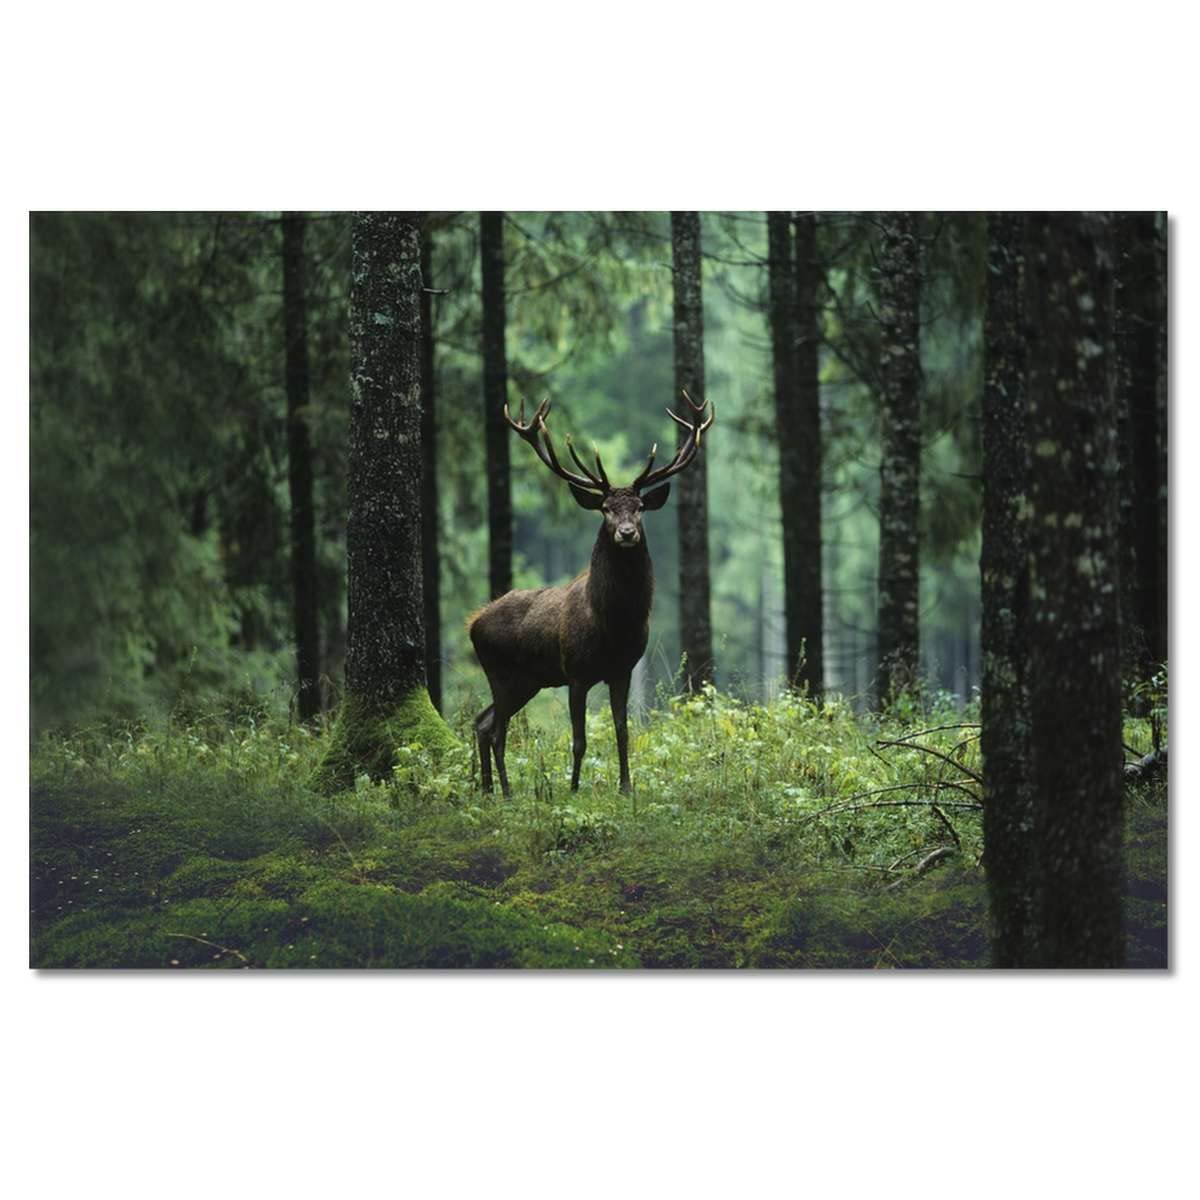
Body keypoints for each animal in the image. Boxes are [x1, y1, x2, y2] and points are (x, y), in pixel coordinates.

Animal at [469, 391, 714, 797]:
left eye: (640, 507)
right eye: (605, 508)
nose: (627, 532)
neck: (613, 623)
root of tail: (472, 623)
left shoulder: (623, 670)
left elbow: (622, 731)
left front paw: (626, 787)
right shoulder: (577, 672)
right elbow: (579, 739)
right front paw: (572, 789)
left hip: (527, 680)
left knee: (482, 722)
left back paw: (489, 790)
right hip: (501, 672)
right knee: (496, 729)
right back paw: (504, 792)